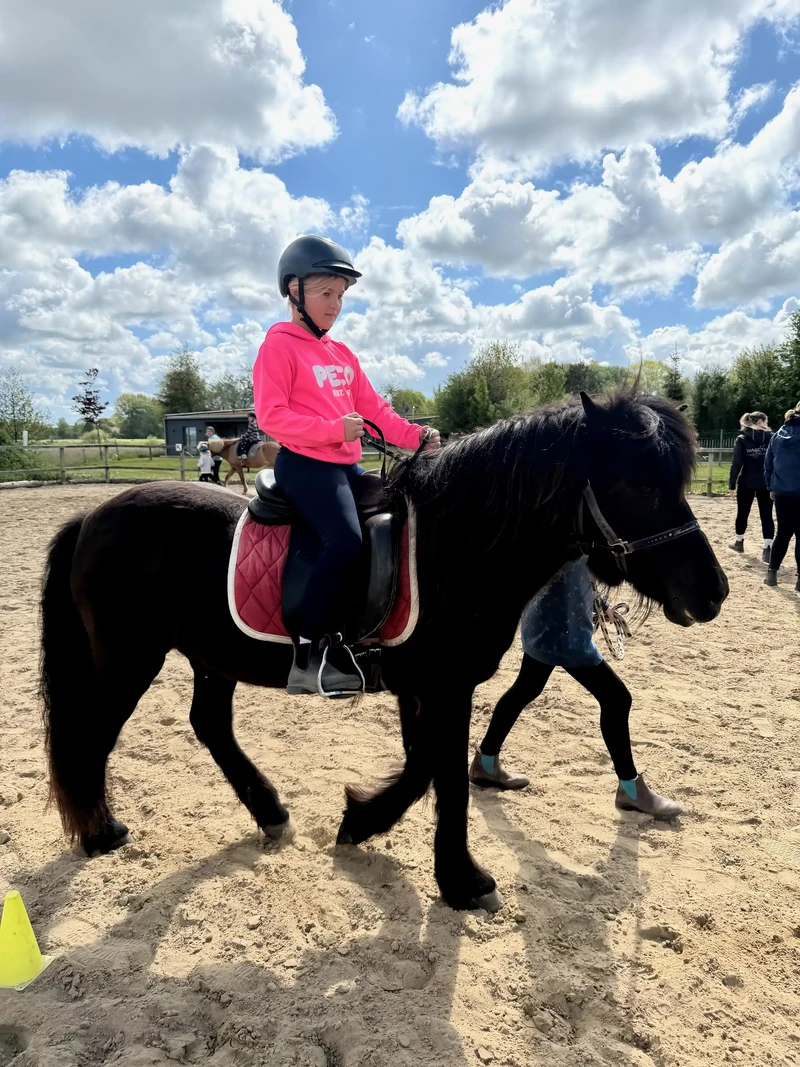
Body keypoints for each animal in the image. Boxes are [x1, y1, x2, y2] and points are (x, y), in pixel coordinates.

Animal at [39, 392, 728, 911]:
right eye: (638, 485)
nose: (713, 592)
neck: (454, 551)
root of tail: (92, 516)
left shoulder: (425, 688)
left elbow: (424, 768)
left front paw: (362, 822)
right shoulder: (445, 687)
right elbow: (446, 779)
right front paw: (462, 882)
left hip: (212, 657)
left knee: (208, 724)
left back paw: (270, 813)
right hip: (130, 659)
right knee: (91, 733)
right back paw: (100, 832)